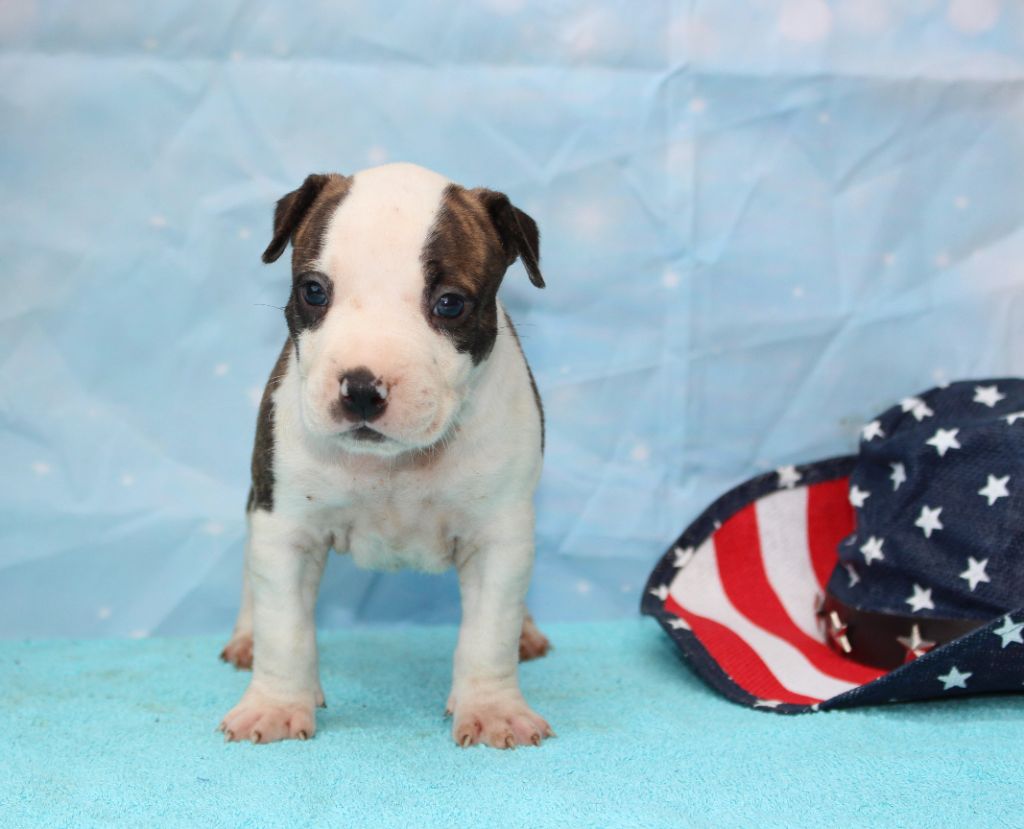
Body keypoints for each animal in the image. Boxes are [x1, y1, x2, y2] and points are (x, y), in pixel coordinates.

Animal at [217, 163, 552, 748]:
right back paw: (246, 636)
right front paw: (276, 705)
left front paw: (492, 710)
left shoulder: (499, 535)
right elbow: (286, 628)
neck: (396, 462)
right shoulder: (287, 527)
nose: (361, 388)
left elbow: (489, 633)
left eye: (450, 303)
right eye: (313, 291)